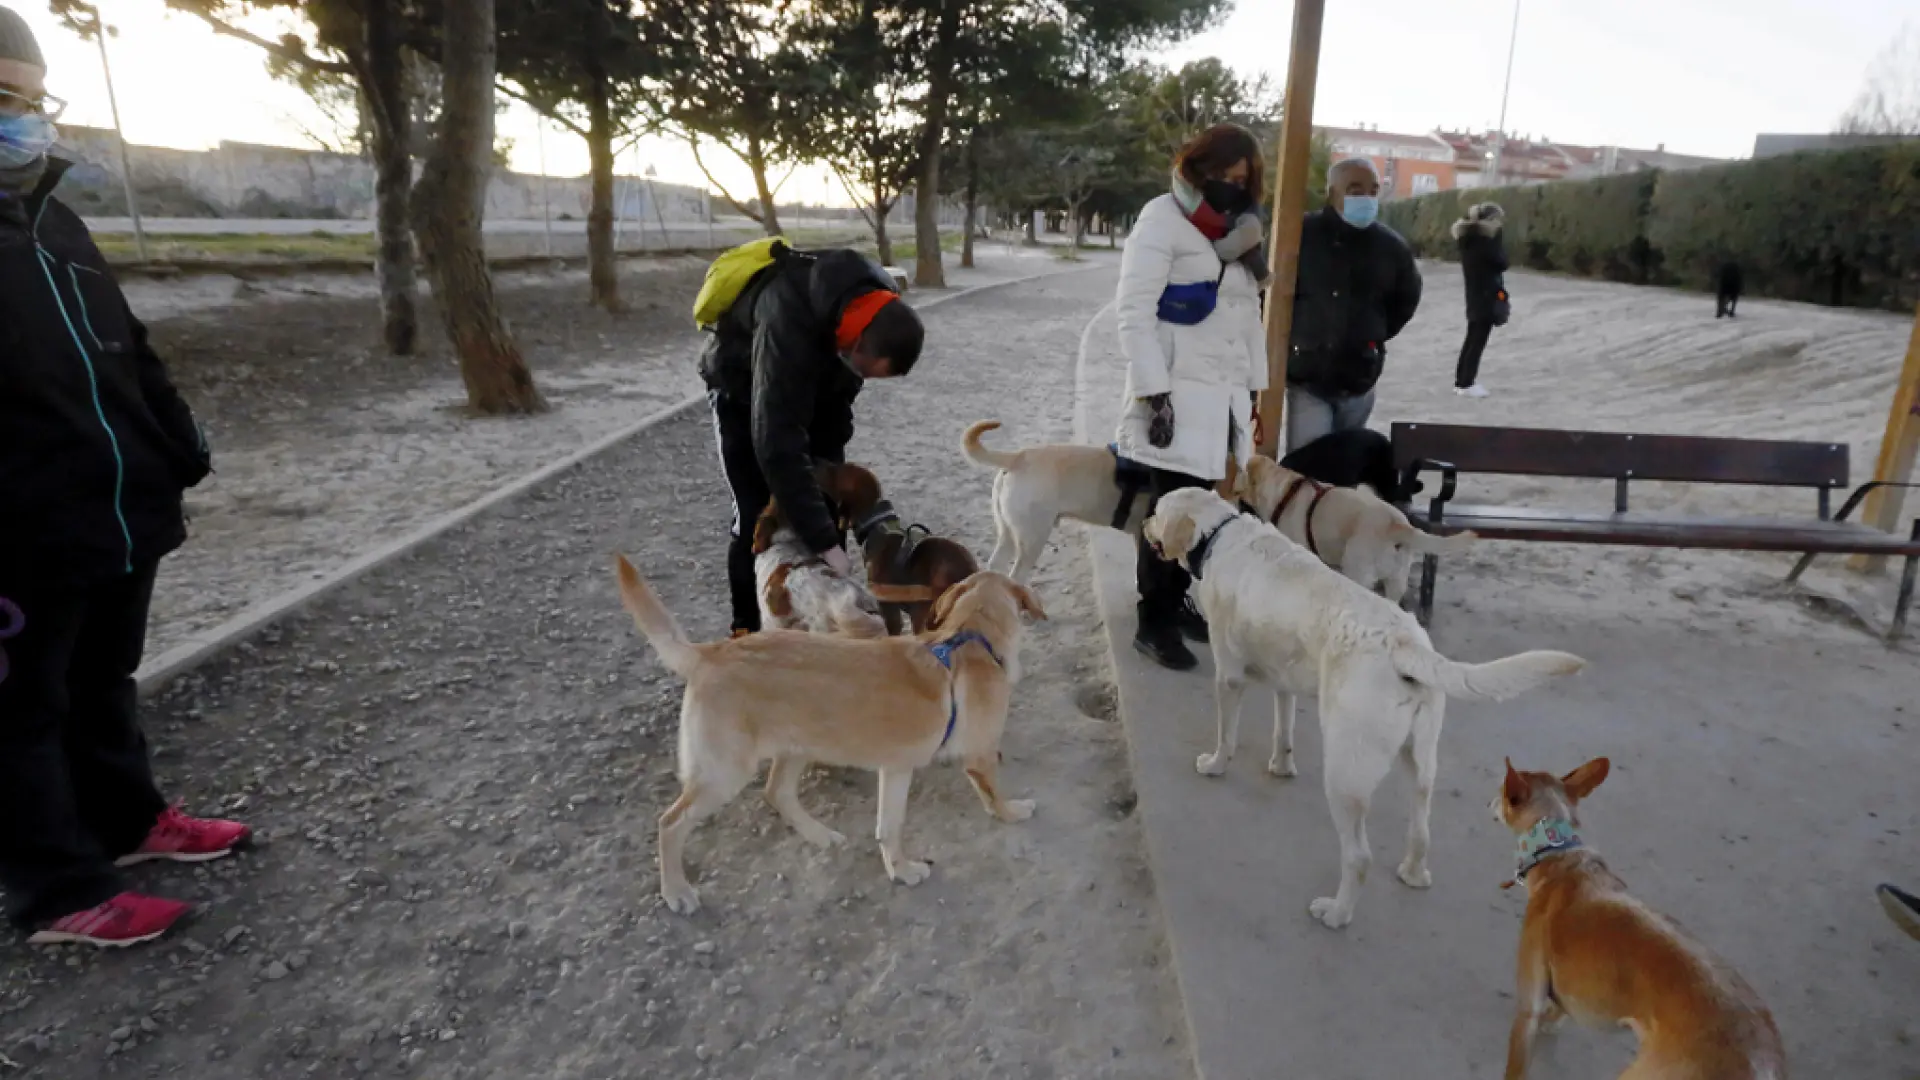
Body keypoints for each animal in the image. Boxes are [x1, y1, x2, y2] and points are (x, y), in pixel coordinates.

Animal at [614, 549, 1044, 910]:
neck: (972, 635)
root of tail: (711, 652)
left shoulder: (896, 769)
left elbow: (889, 826)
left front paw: (900, 870)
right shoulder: (979, 756)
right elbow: (994, 795)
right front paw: (1013, 812)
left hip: (795, 747)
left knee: (777, 793)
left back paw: (820, 834)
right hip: (725, 773)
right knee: (670, 823)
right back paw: (676, 891)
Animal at [1144, 488, 1582, 926]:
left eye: (1157, 511)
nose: (1145, 523)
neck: (1218, 533)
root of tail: (1405, 644)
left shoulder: (1229, 675)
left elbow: (1226, 735)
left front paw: (1215, 764)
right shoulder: (1284, 680)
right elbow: (1283, 729)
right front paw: (1281, 765)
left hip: (1344, 774)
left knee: (1358, 857)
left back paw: (1336, 912)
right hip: (1421, 761)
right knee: (1421, 829)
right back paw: (1413, 873)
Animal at [1489, 757, 1789, 1076]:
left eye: (1501, 792)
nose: (1488, 801)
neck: (1556, 850)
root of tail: (1764, 1066)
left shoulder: (1527, 1013)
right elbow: (1559, 1011)